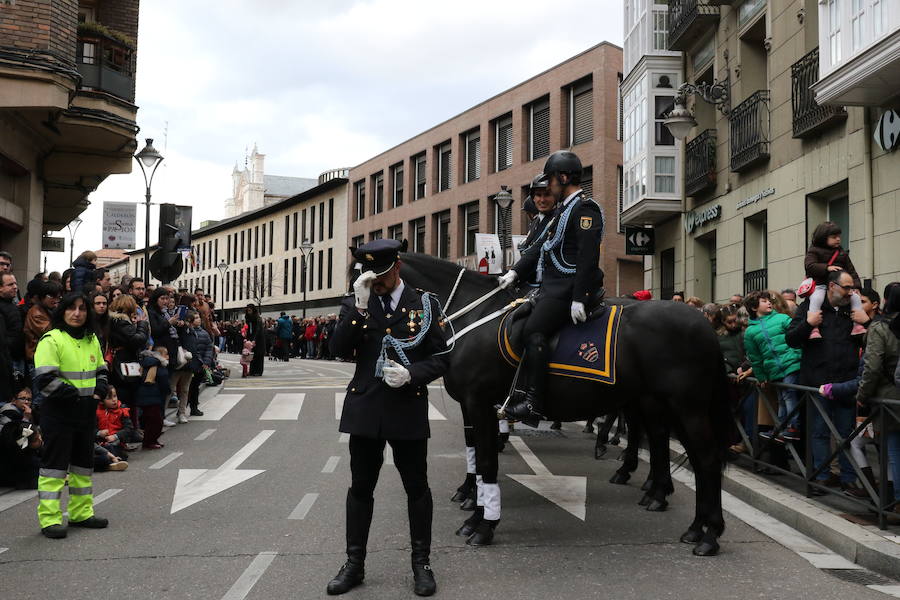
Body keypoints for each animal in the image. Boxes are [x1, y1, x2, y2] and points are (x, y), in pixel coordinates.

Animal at [400, 251, 732, 556]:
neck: (473, 316)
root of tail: (704, 324)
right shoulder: (470, 406)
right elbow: (475, 455)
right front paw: (473, 503)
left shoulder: (481, 404)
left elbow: (485, 462)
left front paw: (483, 523)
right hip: (663, 403)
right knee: (675, 447)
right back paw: (684, 516)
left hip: (686, 407)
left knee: (705, 459)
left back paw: (708, 534)